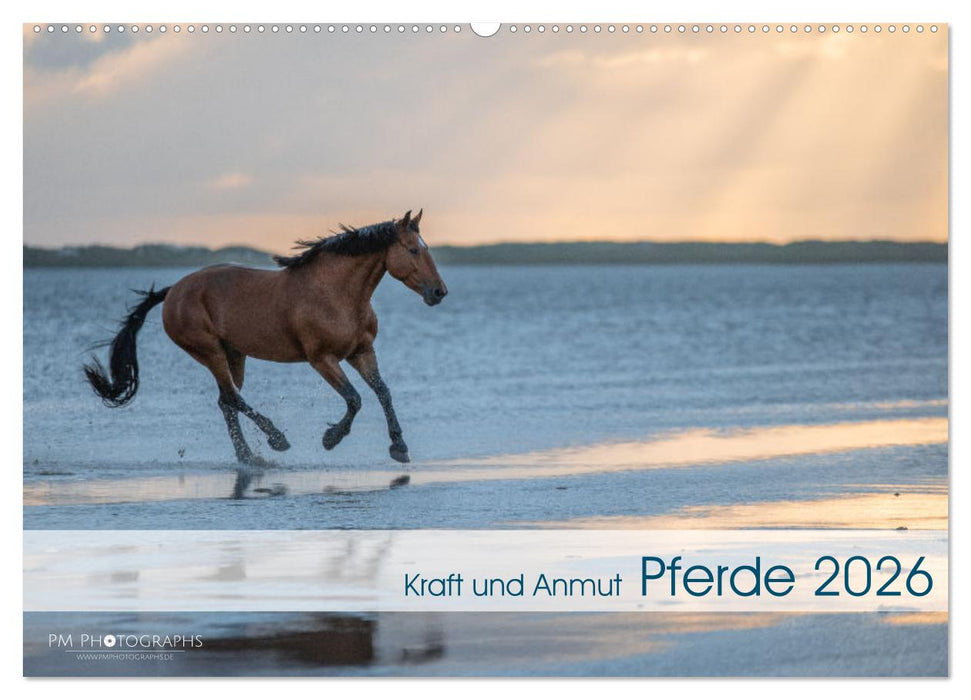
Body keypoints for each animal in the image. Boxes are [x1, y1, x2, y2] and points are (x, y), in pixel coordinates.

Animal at [84, 209, 447, 465]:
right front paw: (331, 438)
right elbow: (355, 398)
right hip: (209, 351)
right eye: (413, 250)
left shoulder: (361, 352)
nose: (439, 292)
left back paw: (250, 457)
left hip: (234, 355)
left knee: (226, 401)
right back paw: (276, 440)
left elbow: (383, 392)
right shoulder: (321, 359)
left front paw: (399, 447)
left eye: (425, 248)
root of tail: (173, 291)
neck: (337, 294)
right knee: (232, 399)